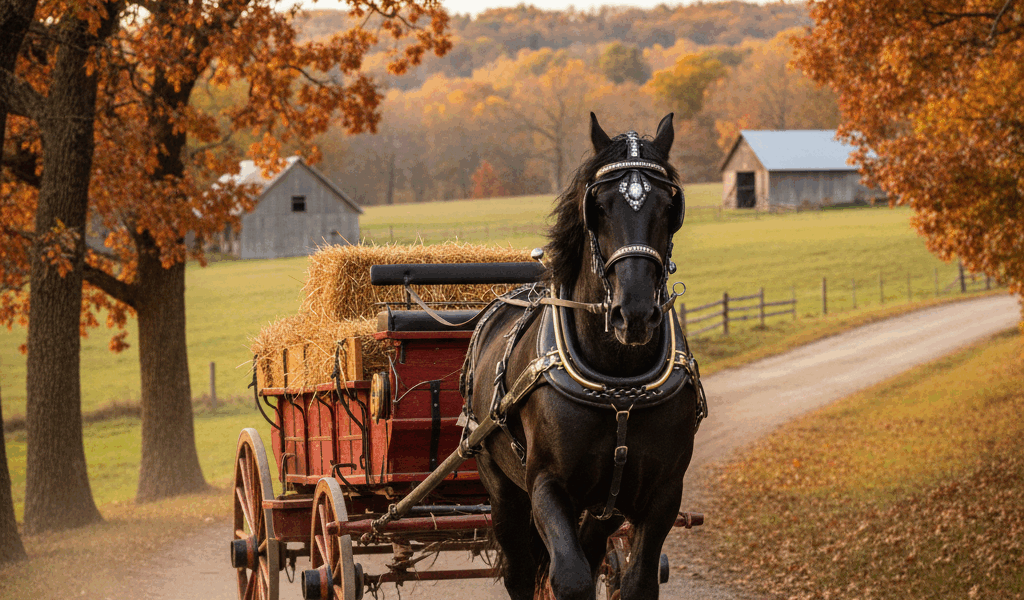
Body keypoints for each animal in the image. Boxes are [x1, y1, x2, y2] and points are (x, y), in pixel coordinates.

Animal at [459, 113, 706, 600]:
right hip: (500, 487)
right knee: (519, 570)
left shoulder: (663, 493)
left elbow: (635, 582)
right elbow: (570, 578)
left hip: (604, 508)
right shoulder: (546, 486)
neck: (619, 384)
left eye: (669, 207)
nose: (635, 314)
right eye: (600, 206)